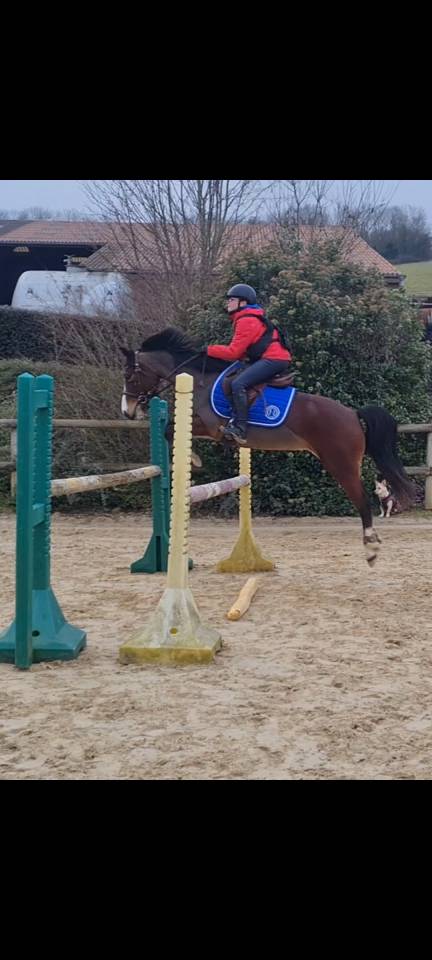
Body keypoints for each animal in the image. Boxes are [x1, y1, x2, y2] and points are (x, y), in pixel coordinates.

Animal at [120, 327, 415, 565]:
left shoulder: (212, 427)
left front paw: (193, 458)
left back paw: (371, 549)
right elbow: (172, 428)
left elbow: (170, 429)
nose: (128, 412)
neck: (201, 379)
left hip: (340, 464)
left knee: (363, 500)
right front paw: (194, 457)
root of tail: (353, 414)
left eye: (130, 377)